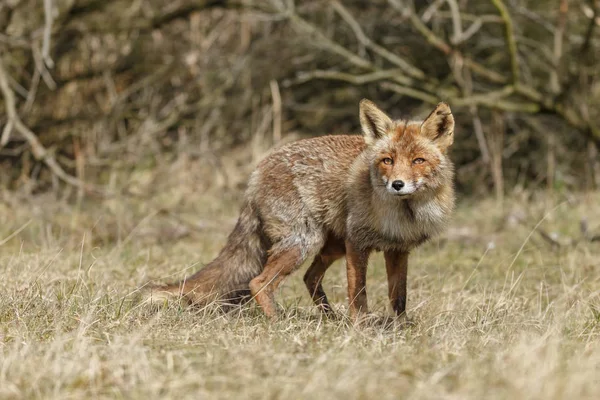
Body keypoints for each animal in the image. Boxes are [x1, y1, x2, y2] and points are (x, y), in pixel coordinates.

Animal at [151, 99, 454, 318]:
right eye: (387, 160)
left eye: (418, 160)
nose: (397, 184)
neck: (404, 214)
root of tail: (257, 170)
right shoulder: (357, 242)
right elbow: (358, 293)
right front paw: (361, 327)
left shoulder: (397, 249)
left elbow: (398, 297)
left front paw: (401, 329)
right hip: (305, 241)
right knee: (259, 283)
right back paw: (277, 323)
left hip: (329, 244)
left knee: (309, 277)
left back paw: (329, 319)